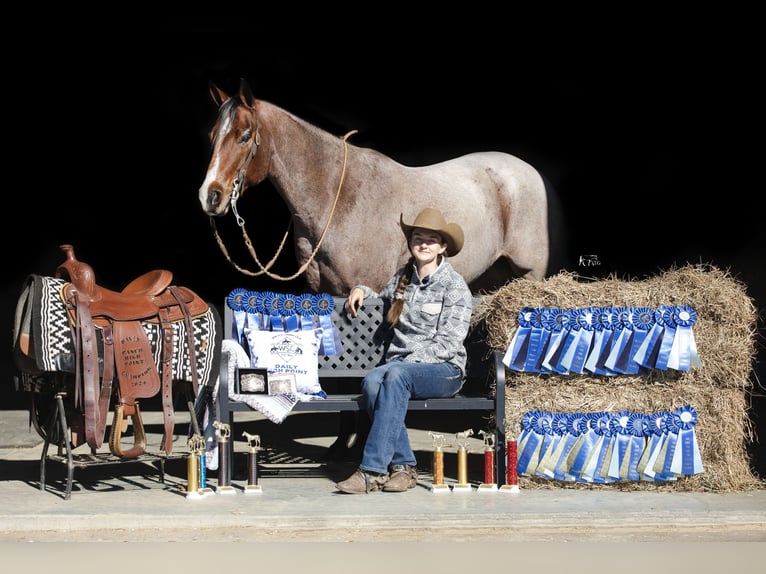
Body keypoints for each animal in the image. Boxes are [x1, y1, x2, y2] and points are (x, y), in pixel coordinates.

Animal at [200, 78, 564, 294]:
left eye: (245, 136)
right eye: (212, 135)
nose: (210, 196)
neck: (338, 200)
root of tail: (537, 175)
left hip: (532, 273)